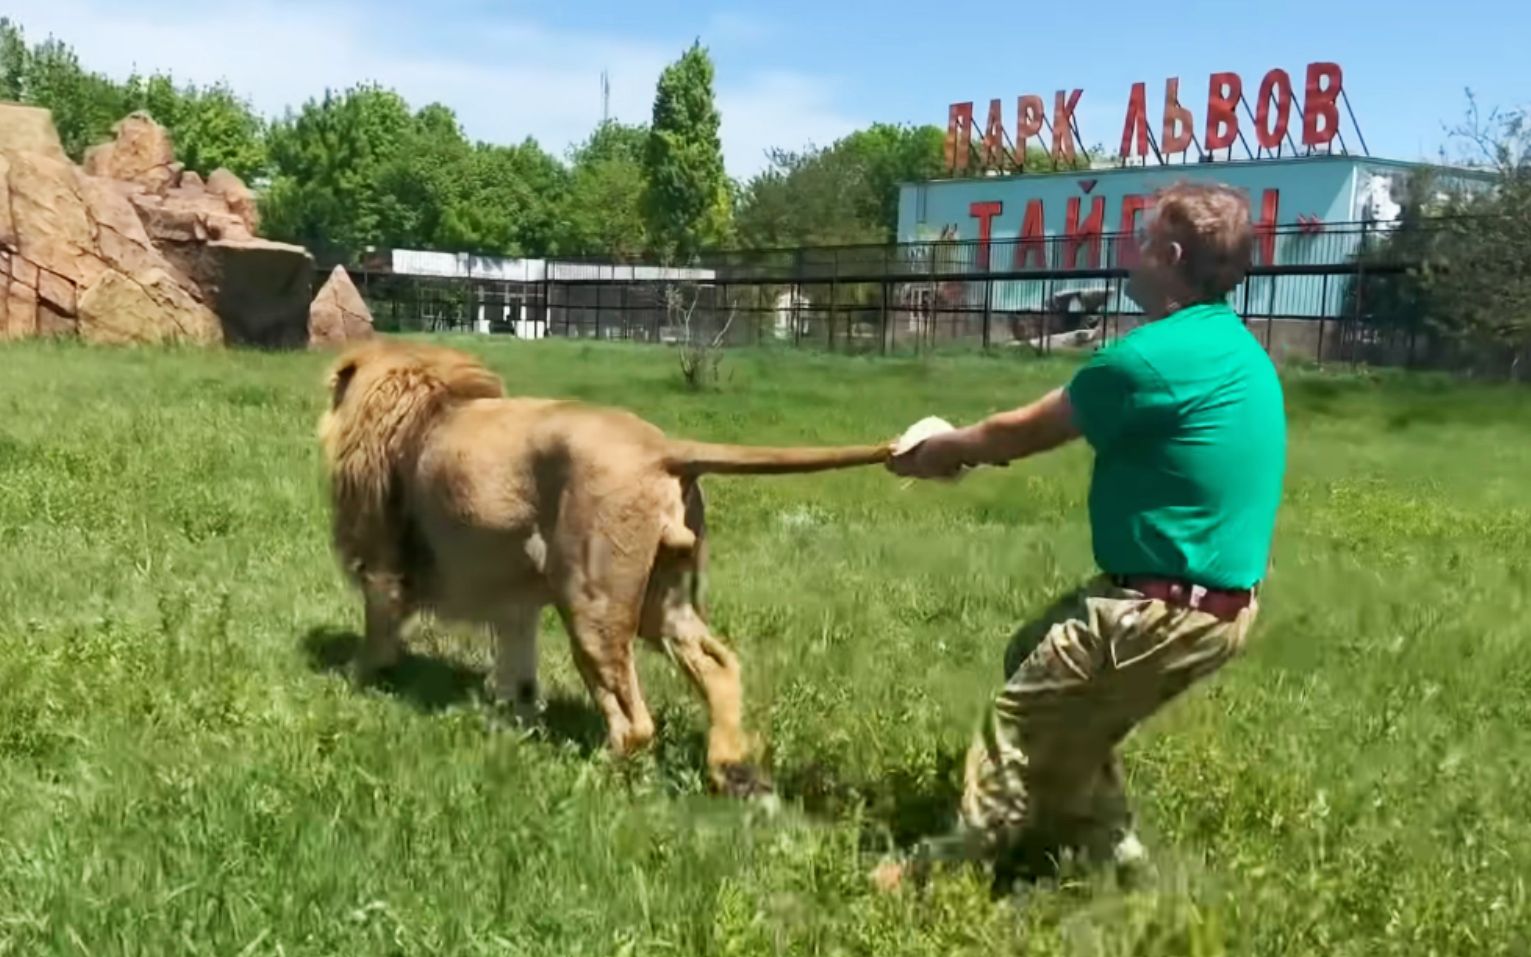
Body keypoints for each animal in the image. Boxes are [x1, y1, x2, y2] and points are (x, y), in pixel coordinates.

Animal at [316, 335, 894, 790]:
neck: (423, 401)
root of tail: (661, 446)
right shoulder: (515, 593)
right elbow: (516, 667)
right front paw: (505, 717)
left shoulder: (382, 561)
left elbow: (378, 630)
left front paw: (354, 679)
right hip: (662, 599)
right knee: (719, 665)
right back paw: (726, 764)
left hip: (592, 600)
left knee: (634, 723)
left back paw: (588, 772)